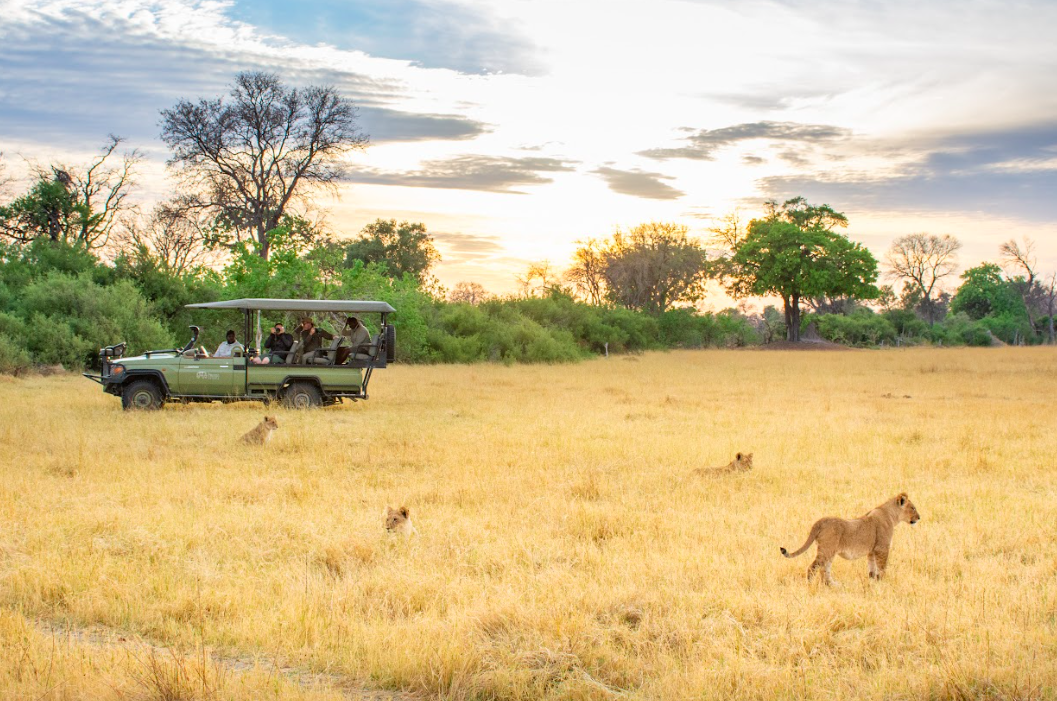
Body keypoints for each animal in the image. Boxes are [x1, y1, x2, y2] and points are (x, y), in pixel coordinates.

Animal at [780, 492, 920, 585]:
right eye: (913, 508)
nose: (919, 517)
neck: (891, 516)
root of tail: (820, 521)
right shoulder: (882, 548)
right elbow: (882, 567)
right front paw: (883, 583)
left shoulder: (871, 551)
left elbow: (872, 569)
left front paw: (873, 583)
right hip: (826, 550)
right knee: (813, 567)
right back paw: (810, 585)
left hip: (830, 552)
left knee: (825, 570)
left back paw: (833, 585)